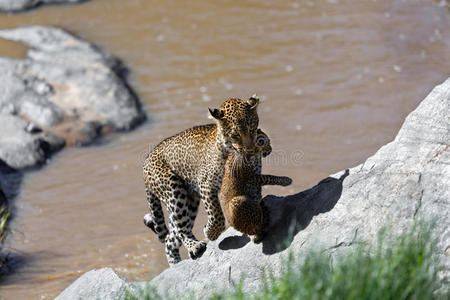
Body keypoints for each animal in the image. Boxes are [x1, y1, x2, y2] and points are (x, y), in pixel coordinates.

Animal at [141, 95, 260, 264]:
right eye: (235, 135)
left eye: (251, 129)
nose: (250, 150)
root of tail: (146, 161)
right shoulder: (206, 185)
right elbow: (216, 215)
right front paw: (209, 232)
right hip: (174, 193)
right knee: (181, 229)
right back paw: (194, 247)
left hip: (189, 200)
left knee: (172, 237)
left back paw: (177, 262)